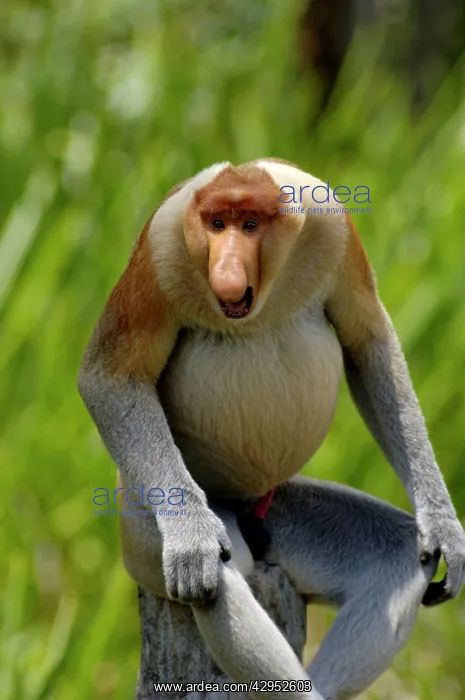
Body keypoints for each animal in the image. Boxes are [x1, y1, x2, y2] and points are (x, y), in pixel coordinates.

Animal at [78, 159, 465, 700]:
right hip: (138, 524)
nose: (226, 271)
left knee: (396, 555)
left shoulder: (334, 224)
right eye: (217, 224)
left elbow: (369, 341)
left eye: (250, 225)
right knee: (219, 577)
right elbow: (109, 377)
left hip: (282, 508)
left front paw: (444, 527)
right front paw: (193, 541)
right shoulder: (160, 248)